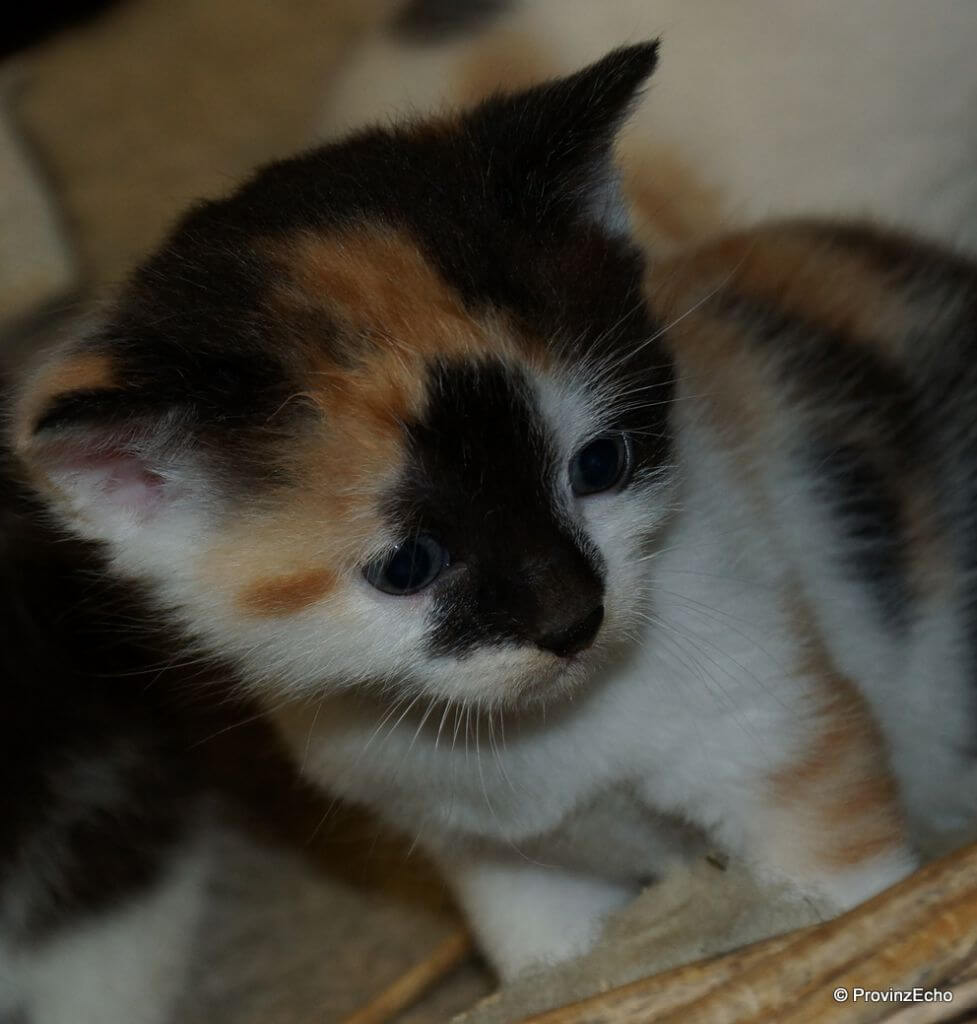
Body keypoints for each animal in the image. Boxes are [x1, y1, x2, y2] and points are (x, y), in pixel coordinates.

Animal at [7, 44, 977, 986]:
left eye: (598, 464)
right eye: (407, 565)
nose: (572, 618)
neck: (538, 732)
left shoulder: (777, 729)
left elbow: (846, 904)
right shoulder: (495, 858)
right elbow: (545, 961)